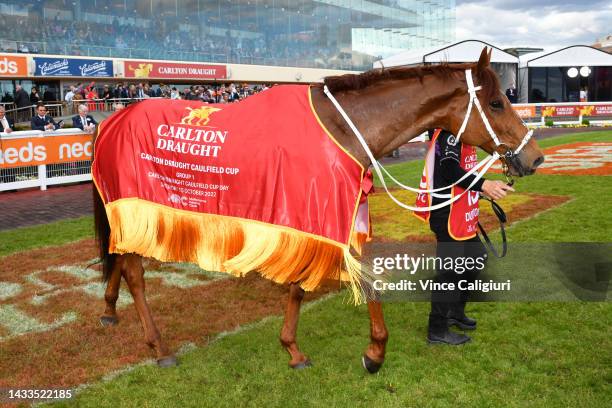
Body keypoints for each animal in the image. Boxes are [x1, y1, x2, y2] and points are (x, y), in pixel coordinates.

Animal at [93, 48, 544, 372]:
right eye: (496, 102)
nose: (535, 157)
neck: (344, 127)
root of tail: (111, 119)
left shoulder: (332, 215)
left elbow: (307, 284)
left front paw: (296, 349)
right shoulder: (316, 213)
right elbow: (353, 281)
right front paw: (372, 354)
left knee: (118, 259)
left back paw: (110, 310)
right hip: (134, 205)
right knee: (135, 274)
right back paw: (159, 346)